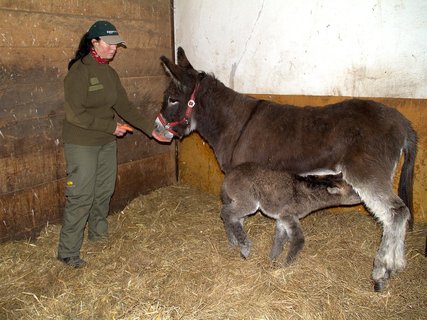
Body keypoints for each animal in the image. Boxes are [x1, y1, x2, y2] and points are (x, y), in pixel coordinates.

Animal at [221, 164, 362, 264]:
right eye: (355, 191)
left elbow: (279, 240)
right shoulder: (289, 216)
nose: (363, 199)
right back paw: (243, 247)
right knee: (227, 213)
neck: (310, 196)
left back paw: (233, 243)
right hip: (249, 202)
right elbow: (299, 240)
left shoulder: (282, 219)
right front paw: (286, 265)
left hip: (240, 202)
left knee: (234, 217)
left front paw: (272, 260)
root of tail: (227, 176)